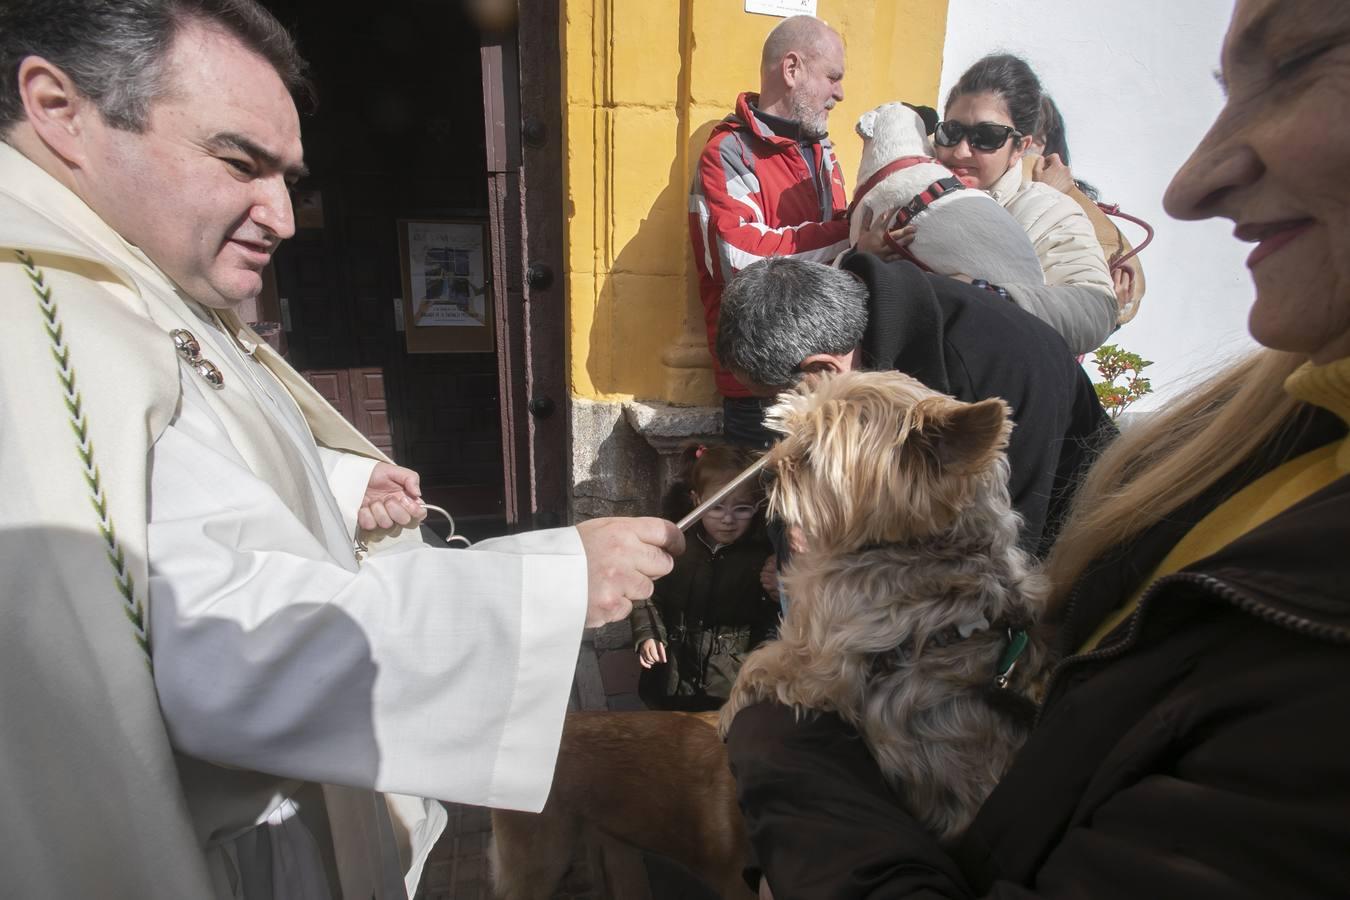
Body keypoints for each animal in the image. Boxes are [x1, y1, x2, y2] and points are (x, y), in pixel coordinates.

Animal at [723, 367, 1047, 847]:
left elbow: (758, 666)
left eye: (809, 456)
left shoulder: (817, 662)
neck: (921, 543)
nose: (764, 475)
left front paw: (726, 714)